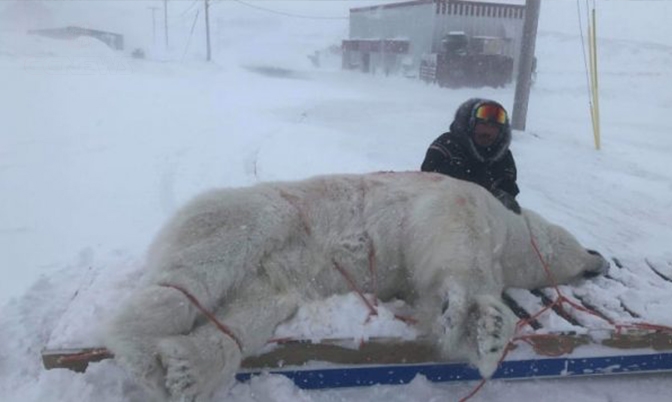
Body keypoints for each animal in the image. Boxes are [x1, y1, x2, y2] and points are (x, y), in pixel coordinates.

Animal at [103, 171, 608, 400]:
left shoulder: (420, 271)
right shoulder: (457, 201)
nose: (600, 259)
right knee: (198, 271)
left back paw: (187, 368)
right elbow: (456, 247)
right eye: (579, 243)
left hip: (282, 271)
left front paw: (472, 329)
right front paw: (485, 326)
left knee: (259, 305)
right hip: (261, 216)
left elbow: (426, 291)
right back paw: (144, 354)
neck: (510, 232)